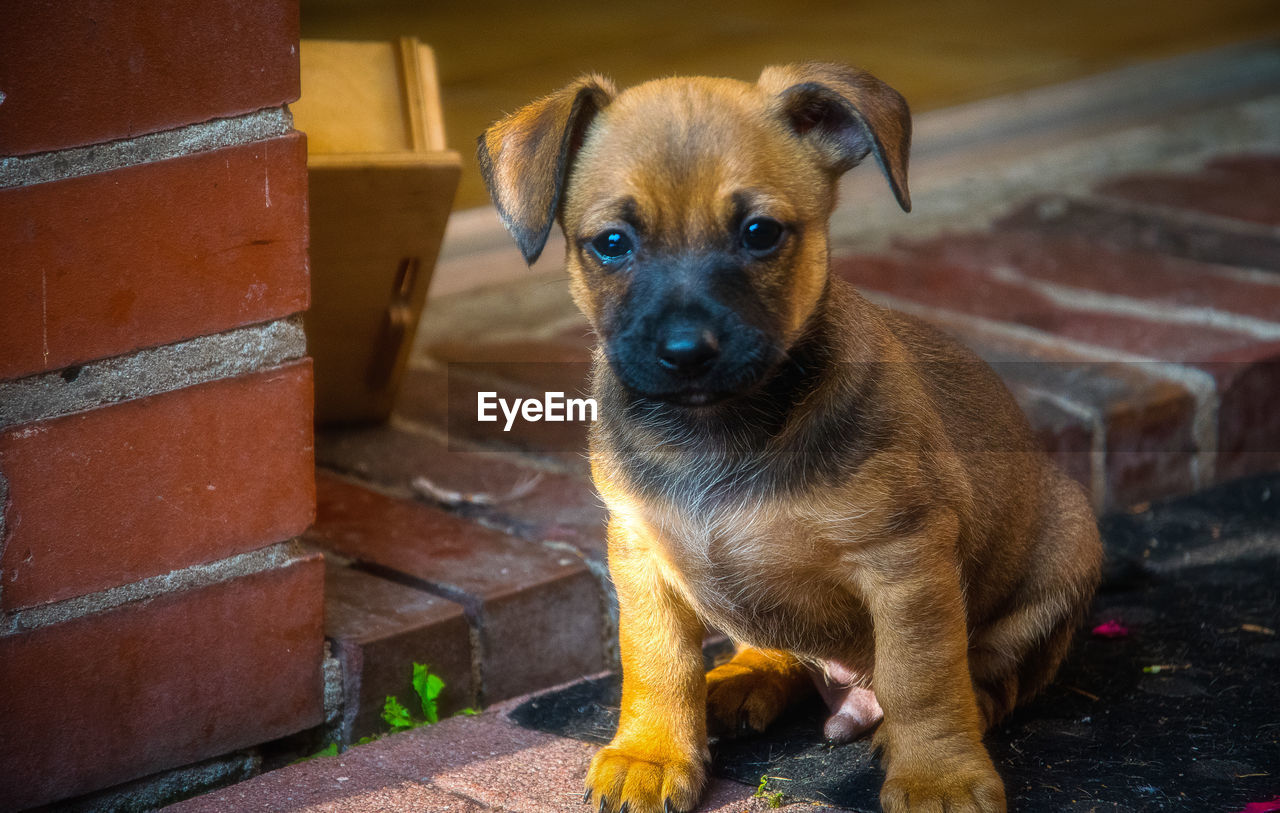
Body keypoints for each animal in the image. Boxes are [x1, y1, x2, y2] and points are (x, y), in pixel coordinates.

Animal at [481, 63, 1100, 813]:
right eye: (612, 243)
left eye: (760, 233)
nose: (686, 352)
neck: (718, 429)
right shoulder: (638, 552)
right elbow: (657, 662)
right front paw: (653, 752)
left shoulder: (905, 561)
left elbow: (923, 679)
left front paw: (938, 774)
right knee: (775, 649)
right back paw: (739, 680)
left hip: (1068, 547)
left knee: (991, 672)